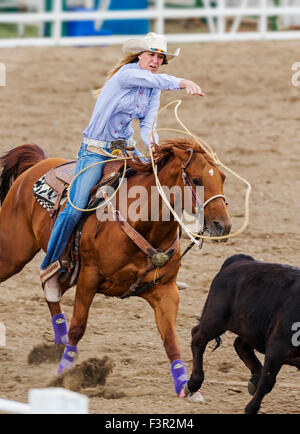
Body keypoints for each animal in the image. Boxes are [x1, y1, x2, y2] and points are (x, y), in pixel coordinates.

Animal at [0, 140, 232, 396]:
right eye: (197, 180)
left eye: (222, 177)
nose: (223, 225)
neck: (144, 223)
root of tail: (37, 164)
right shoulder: (88, 278)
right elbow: (78, 327)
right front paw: (63, 372)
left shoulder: (166, 291)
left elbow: (170, 339)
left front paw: (184, 386)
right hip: (13, 255)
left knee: (51, 289)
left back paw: (58, 340)